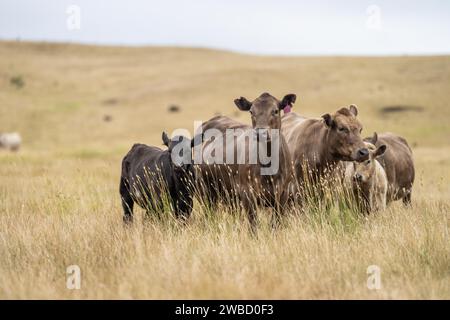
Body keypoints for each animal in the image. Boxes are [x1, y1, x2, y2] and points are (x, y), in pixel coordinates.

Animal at [196, 91, 296, 229]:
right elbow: (253, 225)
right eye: (251, 111)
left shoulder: (283, 194)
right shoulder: (247, 193)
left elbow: (275, 224)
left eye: (275, 111)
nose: (260, 133)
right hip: (206, 192)